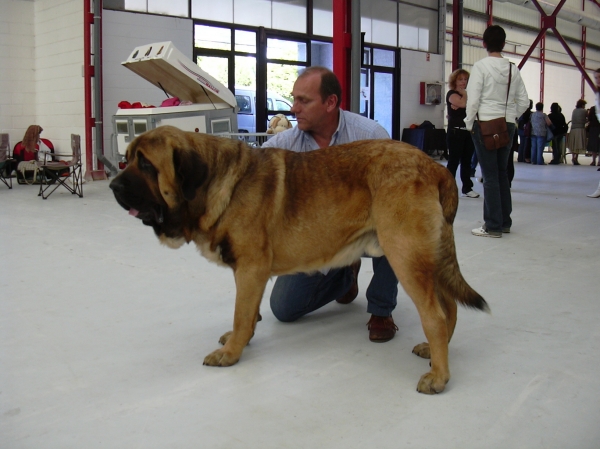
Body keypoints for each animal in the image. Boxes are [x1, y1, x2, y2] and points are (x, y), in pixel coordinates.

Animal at [111, 125, 488, 392]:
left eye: (146, 164)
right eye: (127, 158)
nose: (114, 185)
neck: (216, 182)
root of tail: (437, 168)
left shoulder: (250, 268)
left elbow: (240, 314)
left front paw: (231, 353)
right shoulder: (251, 273)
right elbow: (248, 314)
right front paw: (241, 339)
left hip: (404, 254)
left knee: (435, 315)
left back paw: (438, 376)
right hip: (427, 259)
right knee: (449, 307)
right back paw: (435, 355)